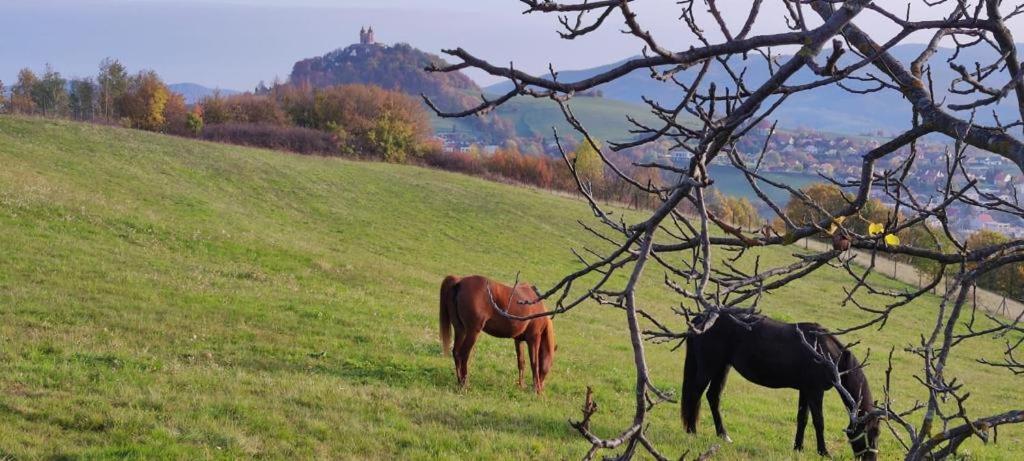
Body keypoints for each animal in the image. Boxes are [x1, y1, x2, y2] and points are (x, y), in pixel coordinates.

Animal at [684, 311, 876, 458]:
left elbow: (802, 419)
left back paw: (723, 436)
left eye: (877, 432)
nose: (871, 458)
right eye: (868, 433)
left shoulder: (805, 390)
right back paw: (692, 432)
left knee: (712, 396)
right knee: (695, 394)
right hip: (710, 367)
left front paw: (798, 448)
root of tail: (702, 318)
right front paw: (824, 452)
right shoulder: (815, 392)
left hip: (722, 367)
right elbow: (819, 421)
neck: (824, 352)